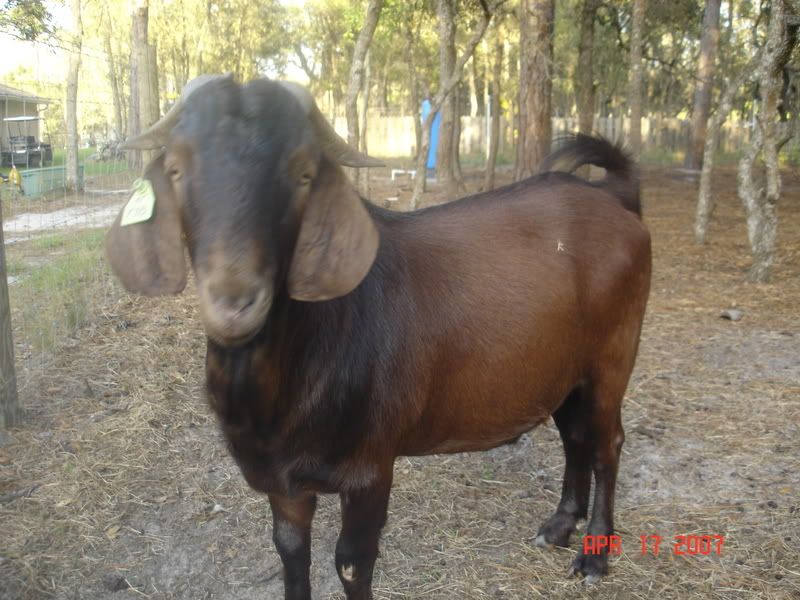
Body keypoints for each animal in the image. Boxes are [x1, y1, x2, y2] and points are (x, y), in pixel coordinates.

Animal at [106, 75, 651, 600]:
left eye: (304, 174)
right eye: (176, 170)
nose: (235, 299)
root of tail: (617, 198)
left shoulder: (370, 467)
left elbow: (351, 563)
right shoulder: (285, 483)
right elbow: (290, 554)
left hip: (612, 357)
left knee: (607, 443)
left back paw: (595, 555)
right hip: (564, 370)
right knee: (574, 435)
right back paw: (558, 526)